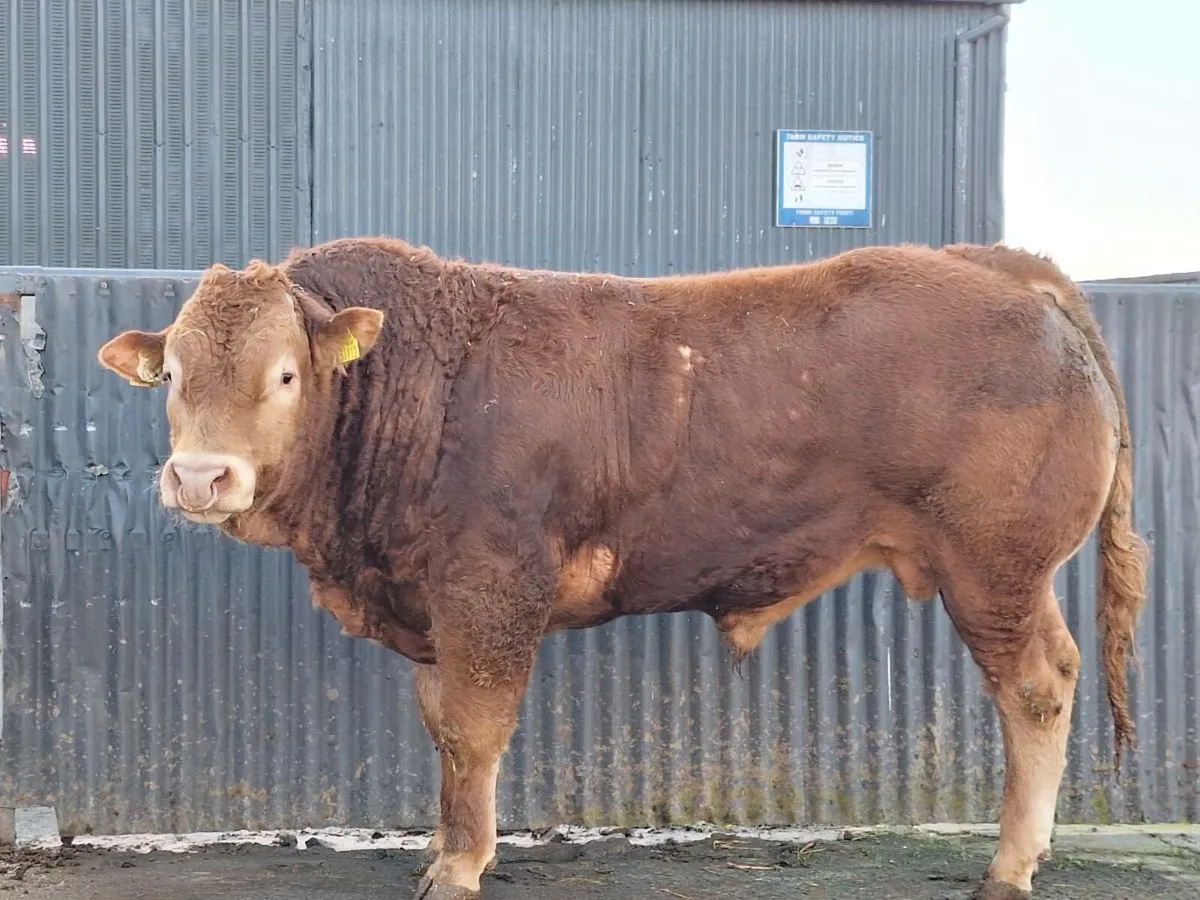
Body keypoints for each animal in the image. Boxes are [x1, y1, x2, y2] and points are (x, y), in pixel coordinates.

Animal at [97, 237, 1147, 900]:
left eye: (283, 374)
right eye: (174, 376)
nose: (200, 476)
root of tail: (1007, 268)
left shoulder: (491, 589)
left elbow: (475, 732)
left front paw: (461, 866)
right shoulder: (434, 609)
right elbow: (442, 735)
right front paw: (441, 842)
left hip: (995, 566)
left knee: (1038, 689)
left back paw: (1010, 866)